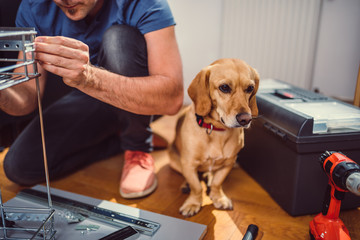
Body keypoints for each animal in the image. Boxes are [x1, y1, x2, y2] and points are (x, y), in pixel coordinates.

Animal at [169, 58, 258, 218]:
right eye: (224, 87)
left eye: (250, 88)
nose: (246, 119)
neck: (216, 130)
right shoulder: (189, 164)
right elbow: (197, 187)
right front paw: (193, 203)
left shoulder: (228, 163)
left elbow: (217, 183)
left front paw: (219, 197)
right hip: (175, 162)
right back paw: (186, 185)